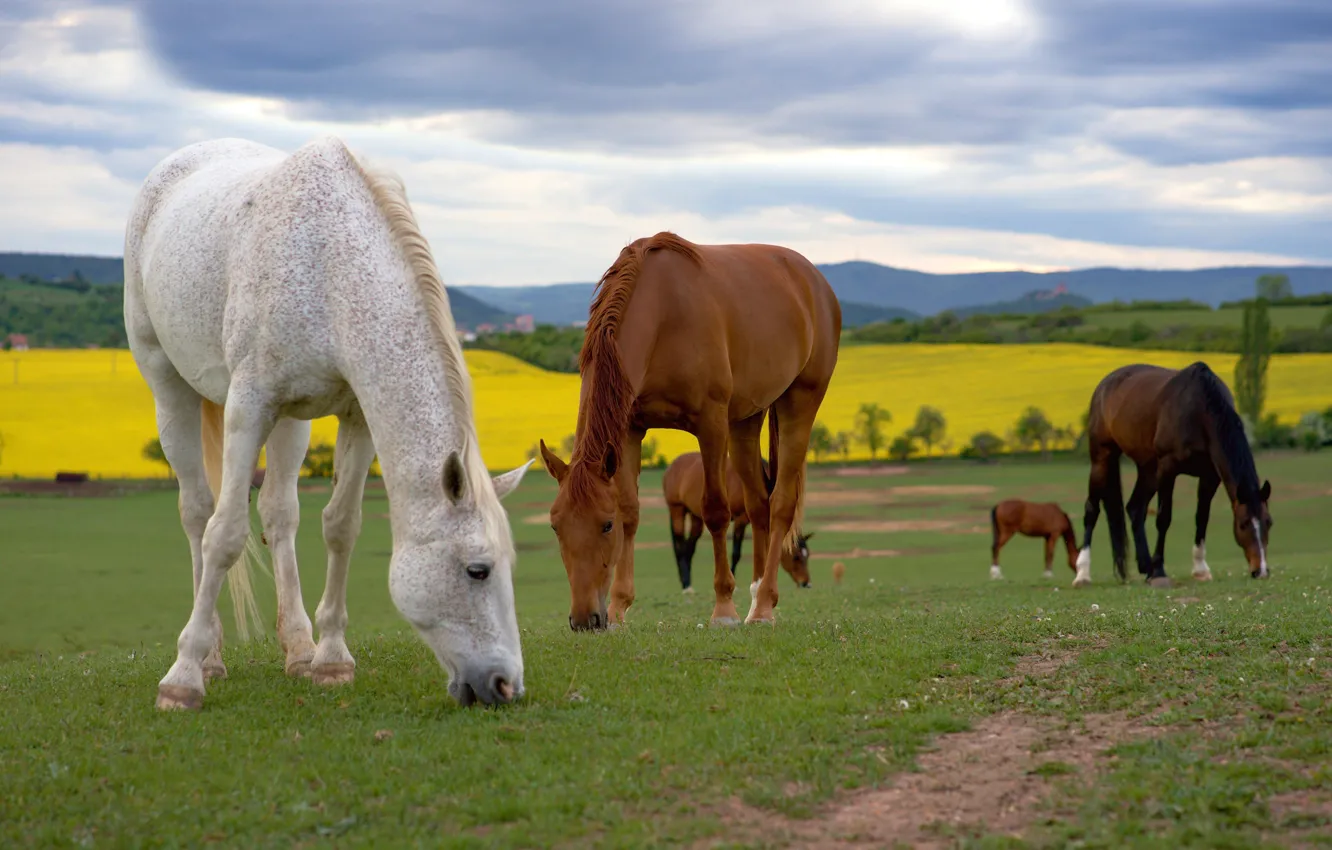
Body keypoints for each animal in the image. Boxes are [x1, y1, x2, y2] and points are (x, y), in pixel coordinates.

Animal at [124, 137, 532, 710]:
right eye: (478, 569)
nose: (505, 685)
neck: (328, 267)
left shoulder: (355, 414)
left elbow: (341, 525)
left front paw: (331, 659)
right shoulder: (249, 406)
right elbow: (224, 535)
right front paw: (181, 680)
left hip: (290, 423)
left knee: (279, 514)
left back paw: (298, 648)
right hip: (168, 384)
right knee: (197, 512)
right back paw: (211, 657)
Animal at [662, 451, 814, 592]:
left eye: (807, 555)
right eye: (796, 557)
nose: (806, 583)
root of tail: (672, 467)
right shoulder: (741, 520)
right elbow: (736, 553)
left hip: (696, 517)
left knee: (690, 547)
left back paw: (687, 583)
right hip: (677, 510)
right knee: (680, 546)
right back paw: (686, 585)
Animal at [1076, 361, 1272, 589]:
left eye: (1269, 522)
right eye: (1243, 524)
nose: (1261, 571)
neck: (1199, 410)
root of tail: (1105, 384)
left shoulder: (1210, 476)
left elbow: (1202, 518)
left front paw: (1200, 570)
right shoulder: (1168, 469)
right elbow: (1164, 518)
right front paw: (1160, 570)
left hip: (1149, 470)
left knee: (1135, 508)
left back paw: (1146, 566)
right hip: (1102, 459)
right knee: (1091, 510)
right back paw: (1082, 574)